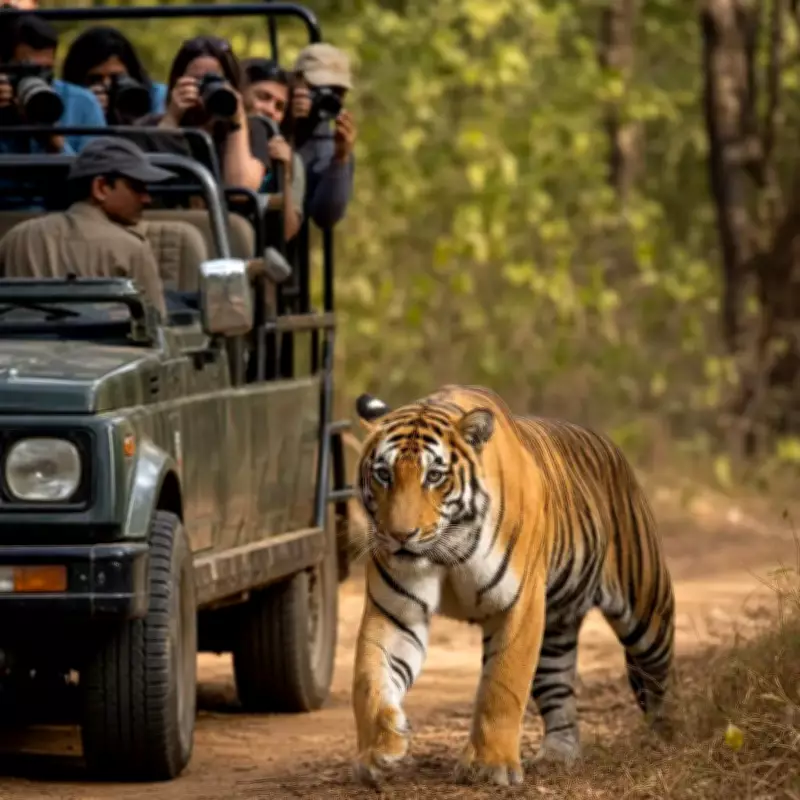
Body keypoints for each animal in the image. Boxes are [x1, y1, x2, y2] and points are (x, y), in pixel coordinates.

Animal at [350, 383, 676, 788]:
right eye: (383, 474)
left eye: (434, 476)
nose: (400, 536)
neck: (446, 549)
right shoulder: (396, 612)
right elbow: (370, 679)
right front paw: (380, 750)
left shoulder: (517, 606)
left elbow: (502, 686)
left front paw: (494, 765)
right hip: (556, 628)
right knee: (558, 691)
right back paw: (558, 755)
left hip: (648, 614)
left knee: (659, 677)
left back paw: (667, 734)